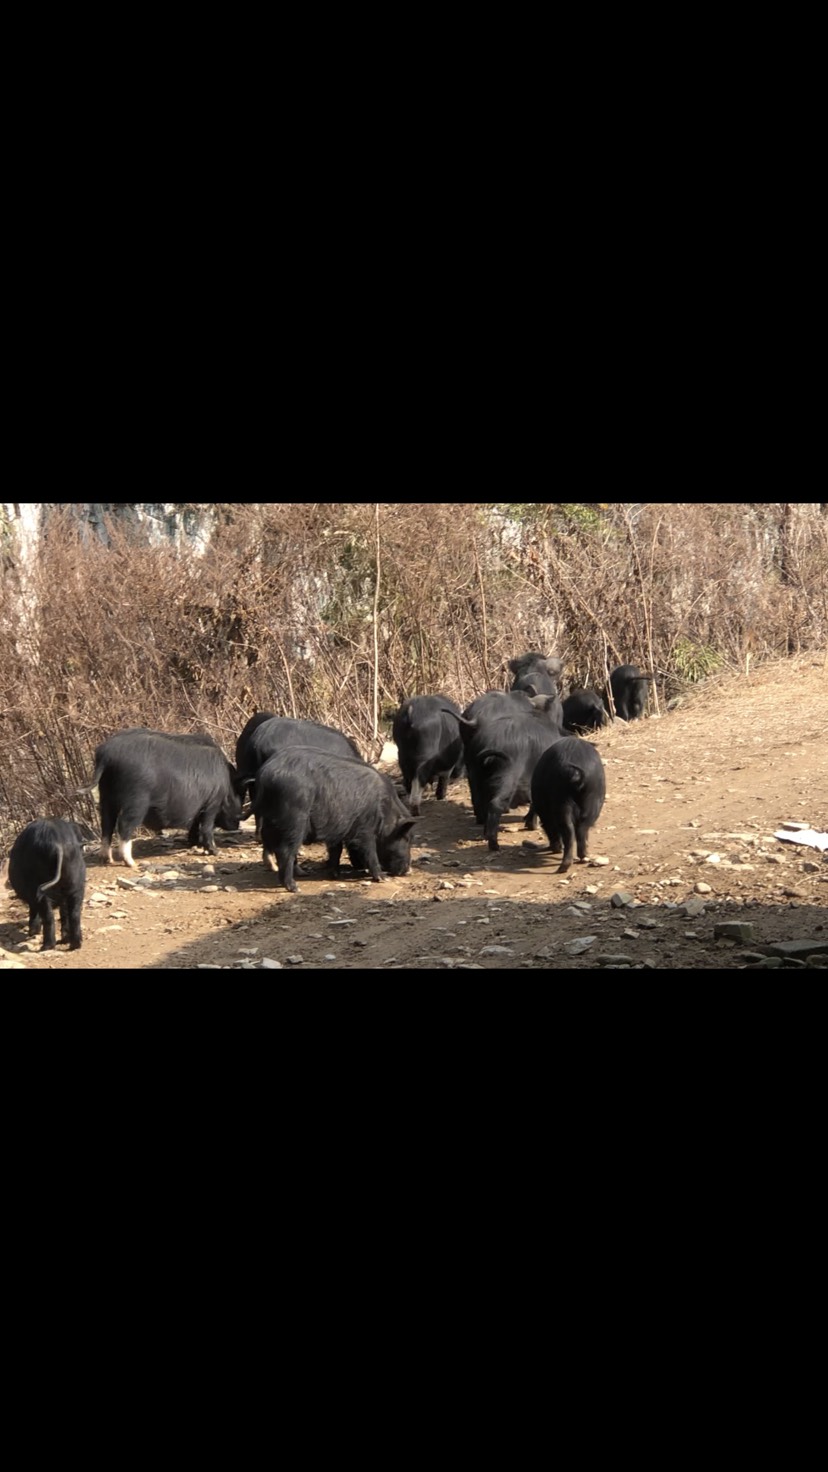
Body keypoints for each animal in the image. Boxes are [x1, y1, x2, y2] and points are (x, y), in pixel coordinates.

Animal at [254, 741, 415, 889]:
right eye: (405, 838)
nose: (407, 870)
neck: (385, 811)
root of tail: (264, 772)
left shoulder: (336, 828)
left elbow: (336, 850)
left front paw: (334, 874)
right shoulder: (365, 828)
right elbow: (370, 851)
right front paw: (382, 878)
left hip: (270, 820)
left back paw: (302, 873)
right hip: (295, 820)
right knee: (285, 850)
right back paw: (294, 887)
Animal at [530, 736, 604, 871]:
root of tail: (574, 773)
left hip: (562, 801)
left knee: (568, 830)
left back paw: (564, 863)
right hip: (592, 801)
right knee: (581, 828)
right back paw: (582, 857)